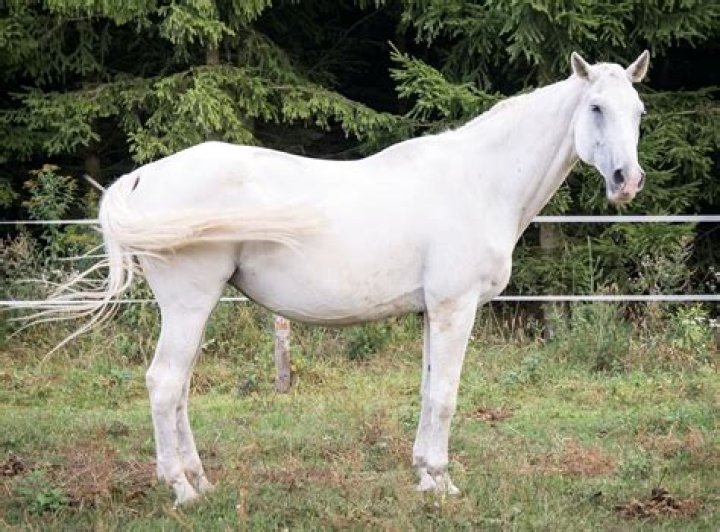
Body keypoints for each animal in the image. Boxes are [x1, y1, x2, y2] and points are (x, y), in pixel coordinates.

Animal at [28, 51, 650, 505]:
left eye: (639, 111)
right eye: (596, 106)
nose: (627, 180)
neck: (479, 180)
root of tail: (143, 178)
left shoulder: (433, 311)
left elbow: (427, 390)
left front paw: (424, 475)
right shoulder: (456, 307)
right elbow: (446, 396)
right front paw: (443, 483)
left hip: (190, 309)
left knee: (177, 389)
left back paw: (201, 479)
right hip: (189, 303)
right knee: (163, 384)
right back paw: (183, 491)